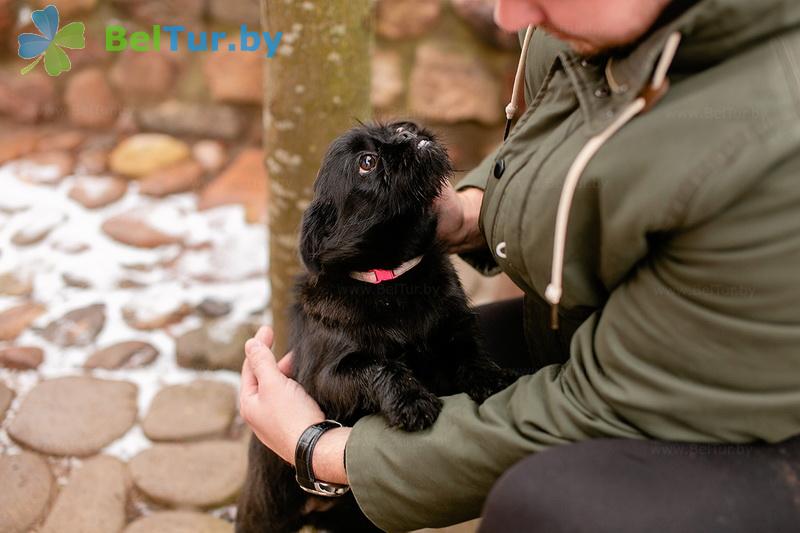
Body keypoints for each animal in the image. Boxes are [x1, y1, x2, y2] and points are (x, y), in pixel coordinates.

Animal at [236, 121, 520, 532]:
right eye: (367, 162)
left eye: (400, 127)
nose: (408, 133)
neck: (391, 280)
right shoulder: (326, 378)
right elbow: (378, 366)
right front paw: (412, 401)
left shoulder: (454, 327)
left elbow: (469, 351)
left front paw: (492, 377)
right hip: (265, 511)